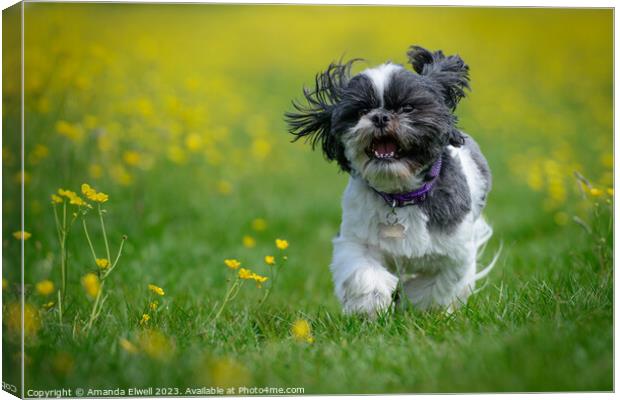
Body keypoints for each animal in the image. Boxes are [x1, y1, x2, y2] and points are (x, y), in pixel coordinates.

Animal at [286, 46, 498, 316]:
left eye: (407, 108)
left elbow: (435, 286)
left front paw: (420, 308)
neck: (401, 195)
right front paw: (370, 305)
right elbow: (364, 274)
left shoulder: (455, 253)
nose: (380, 117)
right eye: (361, 112)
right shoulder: (356, 239)